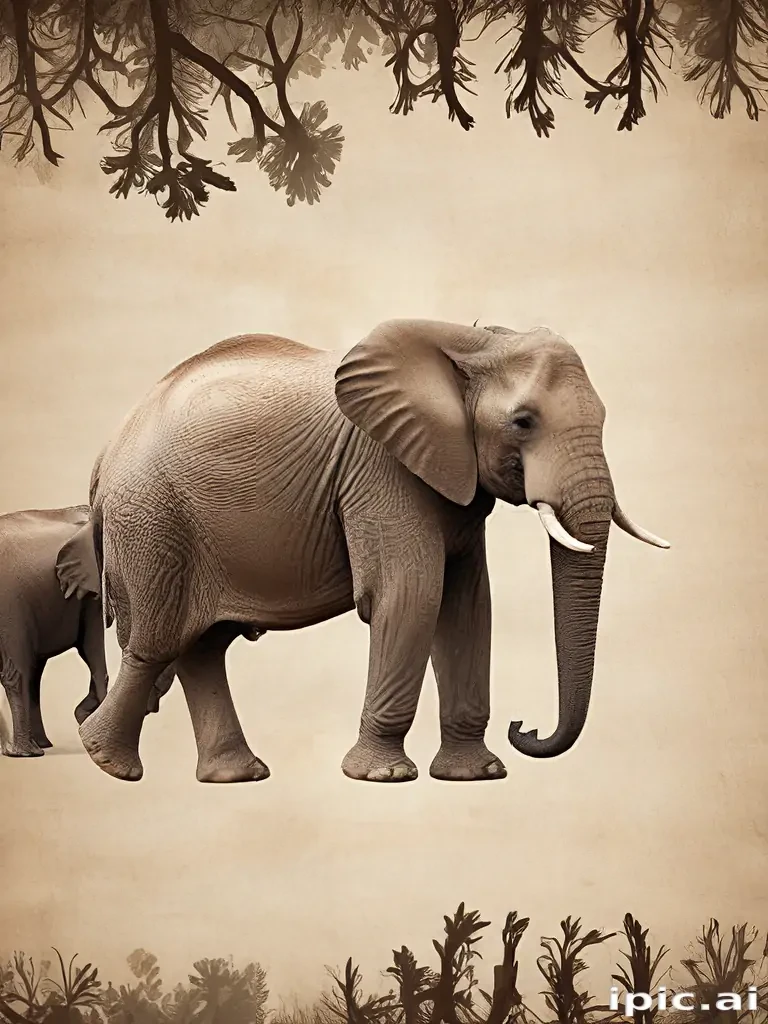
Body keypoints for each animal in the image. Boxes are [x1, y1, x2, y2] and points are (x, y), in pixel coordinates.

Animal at [0, 505, 176, 757]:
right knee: (19, 672)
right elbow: (91, 646)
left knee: (31, 672)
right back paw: (27, 752)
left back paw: (34, 746)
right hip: (11, 605)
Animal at [59, 319, 668, 785]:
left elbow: (467, 605)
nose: (527, 729)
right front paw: (385, 777)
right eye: (523, 422)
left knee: (202, 647)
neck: (474, 343)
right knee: (157, 643)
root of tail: (106, 452)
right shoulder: (380, 468)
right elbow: (412, 594)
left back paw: (235, 776)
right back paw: (108, 763)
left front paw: (477, 776)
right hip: (153, 522)